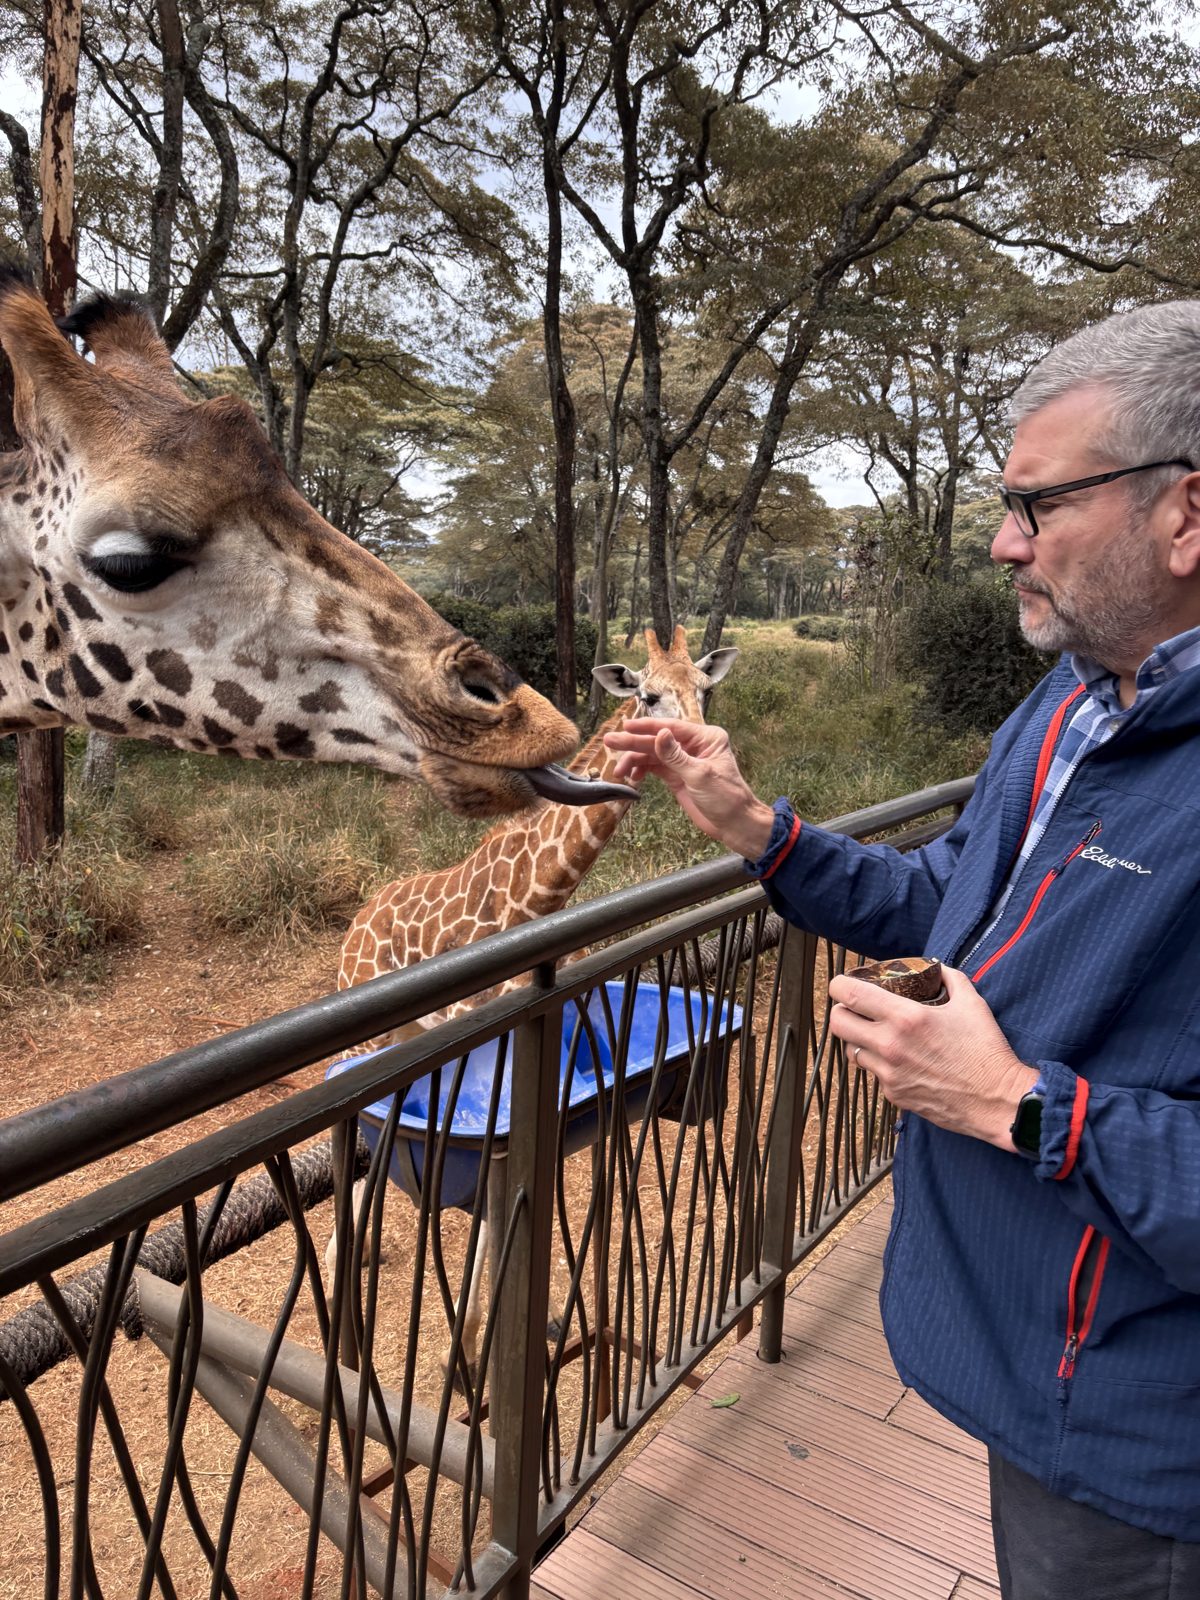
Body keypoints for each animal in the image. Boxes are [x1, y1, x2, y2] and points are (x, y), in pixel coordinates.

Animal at [328, 625, 738, 1376]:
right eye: (648, 694)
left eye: (704, 687)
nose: (701, 747)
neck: (539, 895)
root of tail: (359, 920)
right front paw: (464, 1359)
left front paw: (500, 1337)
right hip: (369, 1030)